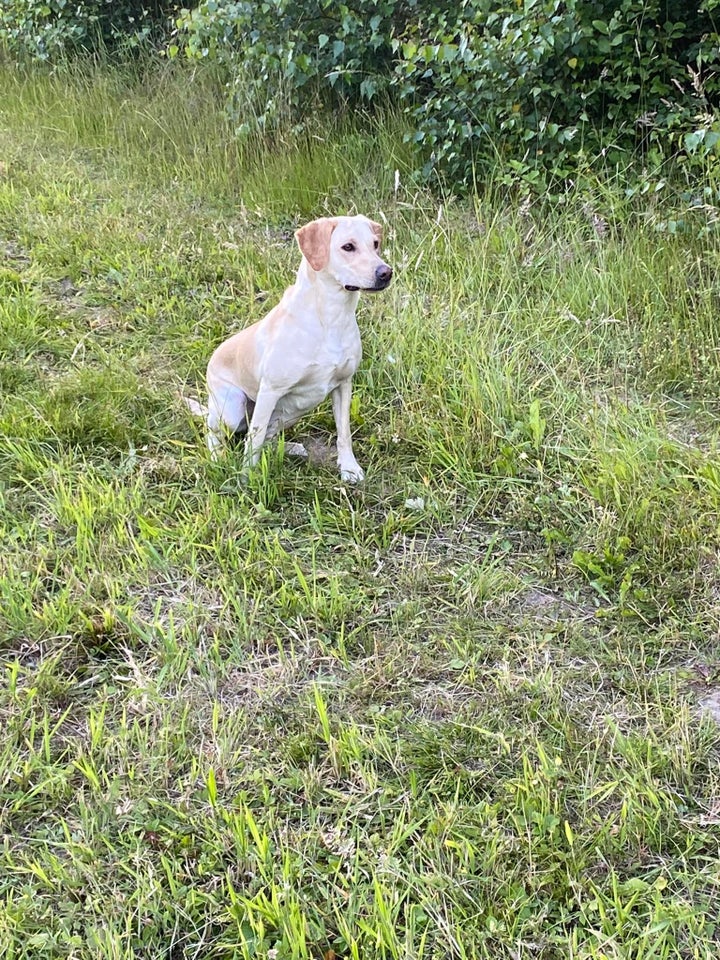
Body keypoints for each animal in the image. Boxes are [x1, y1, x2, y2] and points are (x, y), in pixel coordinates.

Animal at [202, 211, 394, 480]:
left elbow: (344, 432)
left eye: (375, 244)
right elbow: (254, 440)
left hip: (291, 412)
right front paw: (248, 476)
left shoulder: (343, 385)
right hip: (231, 409)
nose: (386, 272)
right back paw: (217, 458)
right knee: (218, 434)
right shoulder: (270, 391)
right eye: (348, 246)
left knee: (270, 436)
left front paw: (349, 467)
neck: (332, 317)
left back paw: (291, 448)